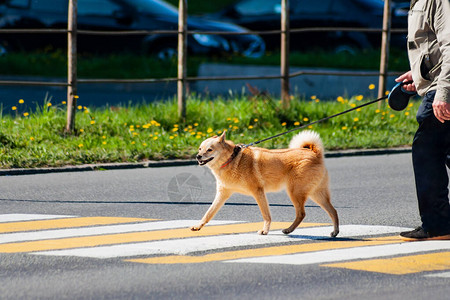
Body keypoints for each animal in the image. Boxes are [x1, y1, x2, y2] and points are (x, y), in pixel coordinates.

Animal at [192, 130, 340, 238]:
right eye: (199, 149)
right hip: (316, 194)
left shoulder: (258, 192)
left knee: (302, 213)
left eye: (209, 150)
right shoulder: (222, 195)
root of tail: (314, 153)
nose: (198, 156)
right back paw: (334, 232)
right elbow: (209, 213)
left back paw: (289, 229)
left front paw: (265, 231)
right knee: (333, 211)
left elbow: (266, 215)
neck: (232, 160)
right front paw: (198, 226)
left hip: (295, 193)